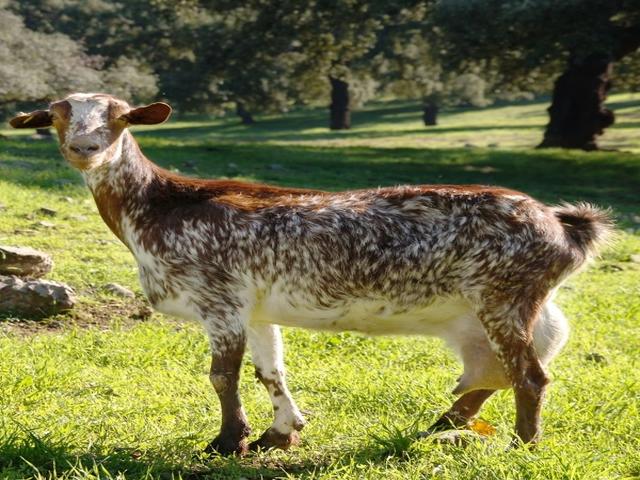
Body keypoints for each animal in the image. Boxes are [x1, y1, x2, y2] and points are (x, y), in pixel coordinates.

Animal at [11, 93, 612, 455]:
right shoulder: (253, 308)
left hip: (504, 299)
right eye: (58, 114)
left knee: (529, 375)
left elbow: (222, 375)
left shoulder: (218, 297)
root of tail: (563, 225)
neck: (162, 205)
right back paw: (444, 423)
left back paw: (521, 446)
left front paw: (227, 442)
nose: (85, 148)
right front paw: (279, 434)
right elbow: (268, 370)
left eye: (119, 116)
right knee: (500, 369)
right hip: (505, 309)